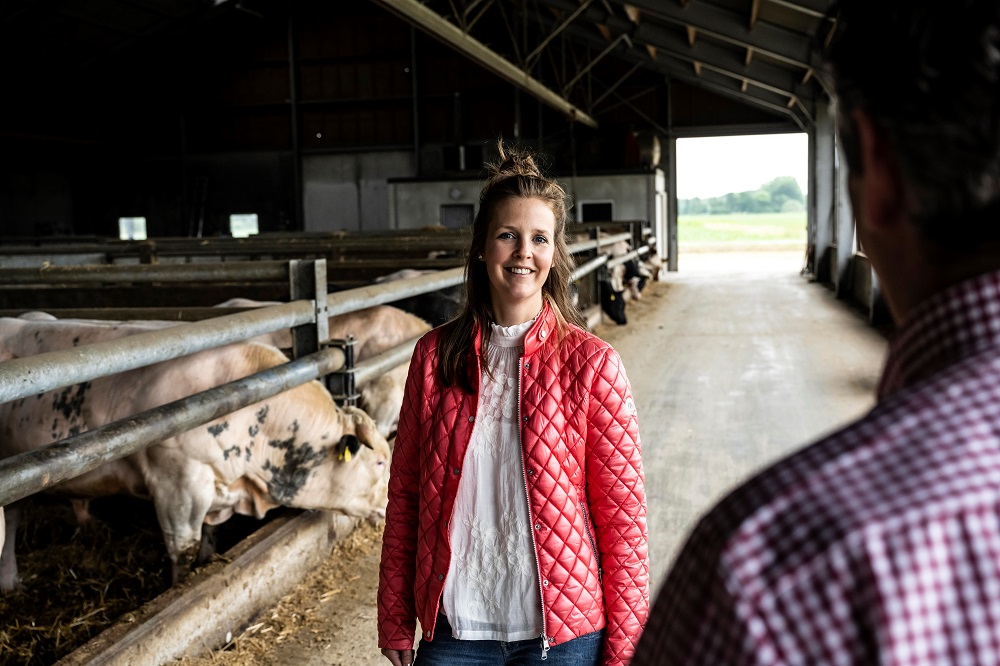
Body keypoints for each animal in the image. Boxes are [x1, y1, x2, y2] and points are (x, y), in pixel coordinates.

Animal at [0, 314, 390, 588]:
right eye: (380, 461)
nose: (390, 505)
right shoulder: (177, 483)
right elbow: (182, 548)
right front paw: (178, 586)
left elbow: (209, 533)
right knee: (13, 519)